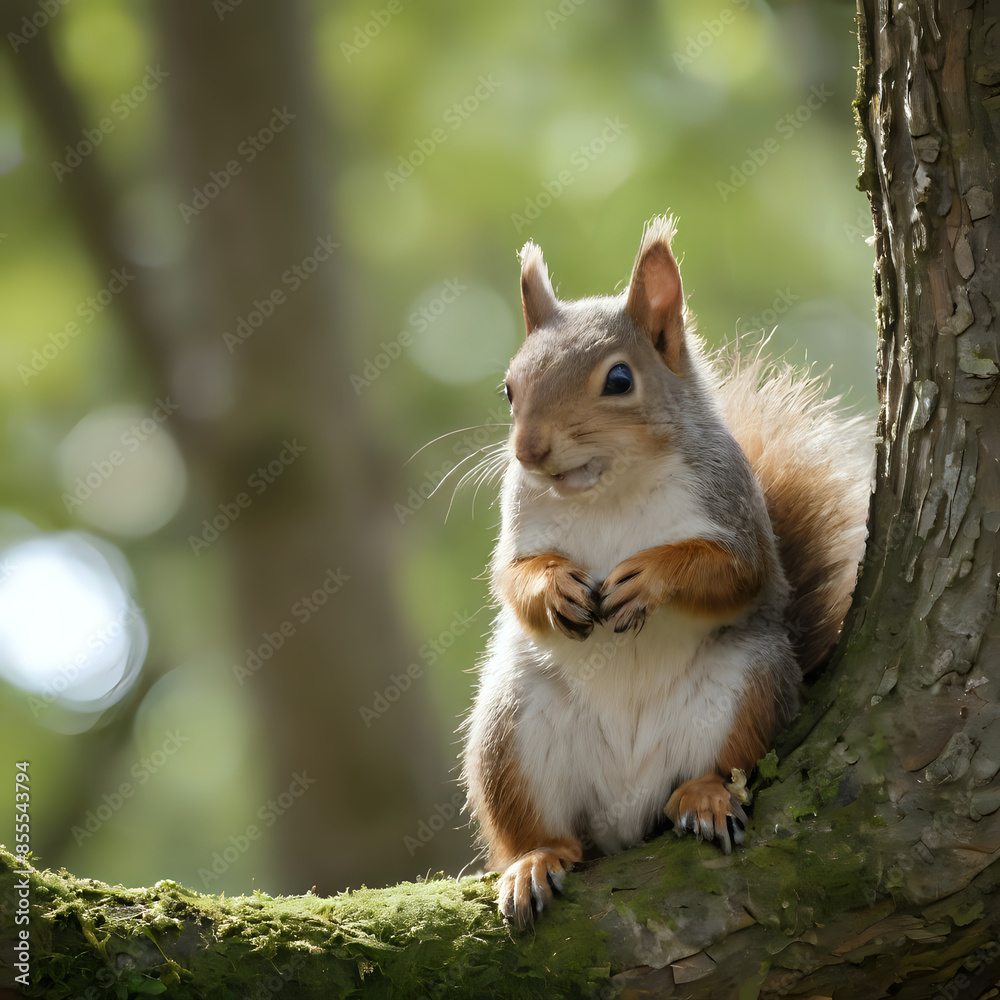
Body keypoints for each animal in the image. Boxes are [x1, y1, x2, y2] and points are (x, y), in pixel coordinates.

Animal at [460, 215, 872, 928]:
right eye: (509, 388)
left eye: (620, 380)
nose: (529, 450)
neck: (610, 487)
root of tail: (626, 809)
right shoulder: (522, 523)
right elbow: (512, 582)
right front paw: (554, 587)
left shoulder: (733, 510)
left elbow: (736, 573)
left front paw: (647, 576)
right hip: (511, 728)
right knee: (538, 829)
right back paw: (535, 860)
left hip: (747, 683)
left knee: (725, 764)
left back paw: (704, 796)